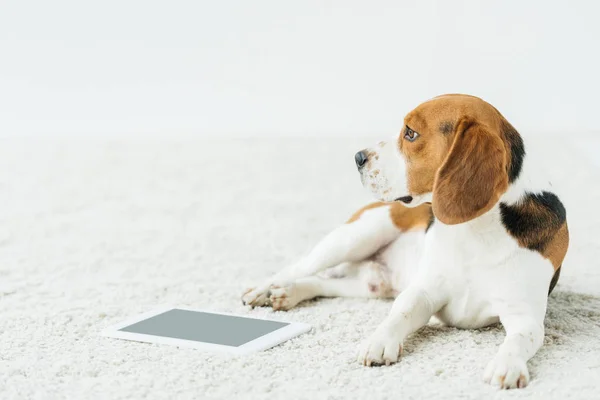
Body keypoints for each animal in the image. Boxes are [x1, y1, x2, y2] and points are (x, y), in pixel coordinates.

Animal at [241, 94, 568, 390]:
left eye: (410, 133)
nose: (358, 157)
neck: (476, 230)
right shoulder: (425, 292)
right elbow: (401, 313)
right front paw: (379, 341)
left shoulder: (524, 315)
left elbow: (520, 340)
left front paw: (507, 365)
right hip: (356, 236)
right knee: (299, 266)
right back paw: (264, 289)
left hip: (372, 286)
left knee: (323, 282)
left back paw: (289, 293)